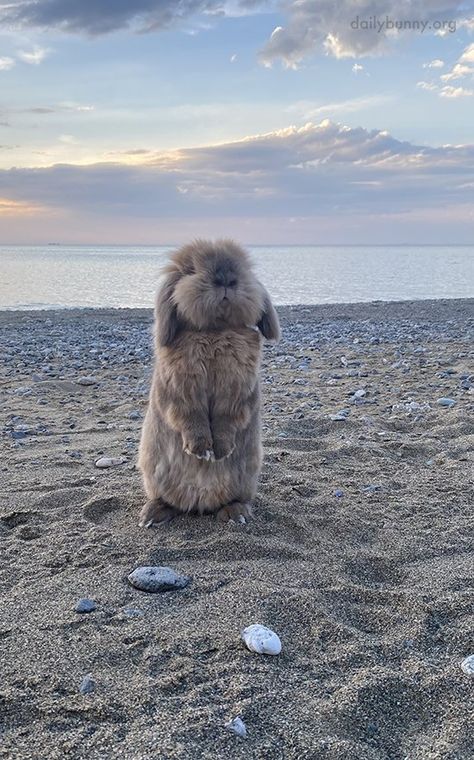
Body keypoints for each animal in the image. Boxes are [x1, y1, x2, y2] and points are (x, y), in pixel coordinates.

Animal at [137, 240, 280, 524]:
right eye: (190, 270)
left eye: (244, 268)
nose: (226, 279)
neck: (215, 331)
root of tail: (199, 505)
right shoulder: (181, 392)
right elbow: (191, 418)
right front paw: (201, 451)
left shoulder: (236, 393)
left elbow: (226, 420)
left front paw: (221, 451)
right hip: (153, 473)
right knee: (164, 499)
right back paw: (152, 515)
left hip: (246, 478)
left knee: (236, 499)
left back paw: (236, 514)